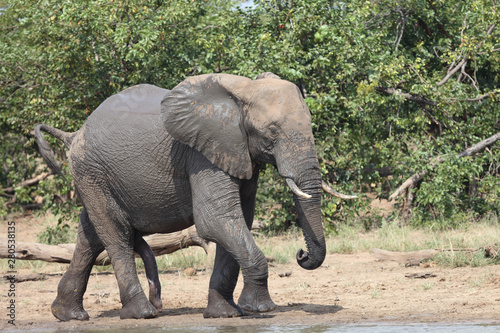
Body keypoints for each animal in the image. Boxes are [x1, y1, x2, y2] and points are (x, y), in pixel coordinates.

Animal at [34, 72, 352, 320]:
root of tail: (74, 133)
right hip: (92, 171)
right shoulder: (202, 154)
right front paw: (260, 309)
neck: (243, 92)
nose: (301, 254)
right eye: (272, 132)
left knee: (90, 235)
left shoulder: (238, 153)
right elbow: (216, 219)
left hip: (93, 177)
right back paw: (141, 313)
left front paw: (225, 314)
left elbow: (238, 220)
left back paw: (68, 314)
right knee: (116, 235)